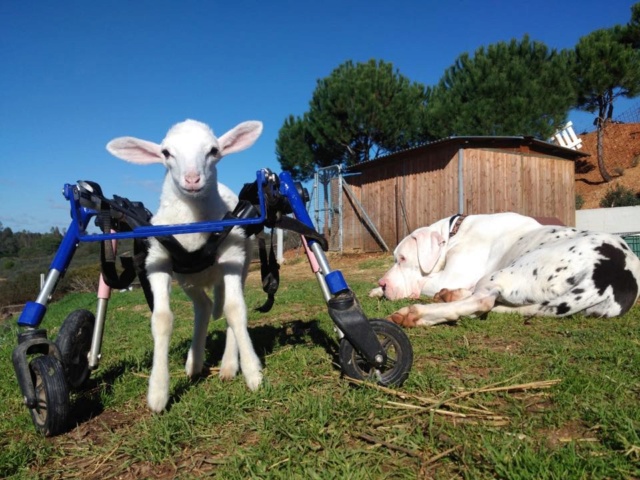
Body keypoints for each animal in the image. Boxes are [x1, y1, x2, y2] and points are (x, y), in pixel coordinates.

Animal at [106, 119, 264, 412]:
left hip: (245, 260)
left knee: (224, 306)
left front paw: (252, 372)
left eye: (213, 150)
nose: (192, 179)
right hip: (187, 278)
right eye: (166, 153)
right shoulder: (157, 262)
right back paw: (194, 362)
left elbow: (235, 310)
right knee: (204, 306)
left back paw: (228, 365)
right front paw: (158, 392)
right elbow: (161, 319)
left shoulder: (233, 255)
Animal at [370, 213, 640, 326]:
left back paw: (417, 314)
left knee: (482, 302)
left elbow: (426, 283)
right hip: (539, 302)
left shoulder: (450, 275)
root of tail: (613, 276)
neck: (454, 232)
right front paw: (376, 290)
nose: (383, 283)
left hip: (508, 272)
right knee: (494, 305)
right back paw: (449, 296)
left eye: (402, 258)